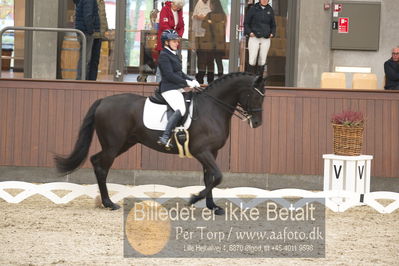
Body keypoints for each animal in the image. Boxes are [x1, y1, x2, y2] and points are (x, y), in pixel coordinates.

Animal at [53, 72, 266, 214]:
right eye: (256, 95)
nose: (257, 123)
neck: (212, 108)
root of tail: (103, 101)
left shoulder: (212, 152)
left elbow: (210, 178)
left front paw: (212, 206)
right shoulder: (202, 151)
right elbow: (218, 176)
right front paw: (194, 198)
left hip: (123, 144)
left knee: (97, 161)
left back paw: (106, 201)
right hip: (113, 145)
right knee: (101, 167)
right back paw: (109, 203)